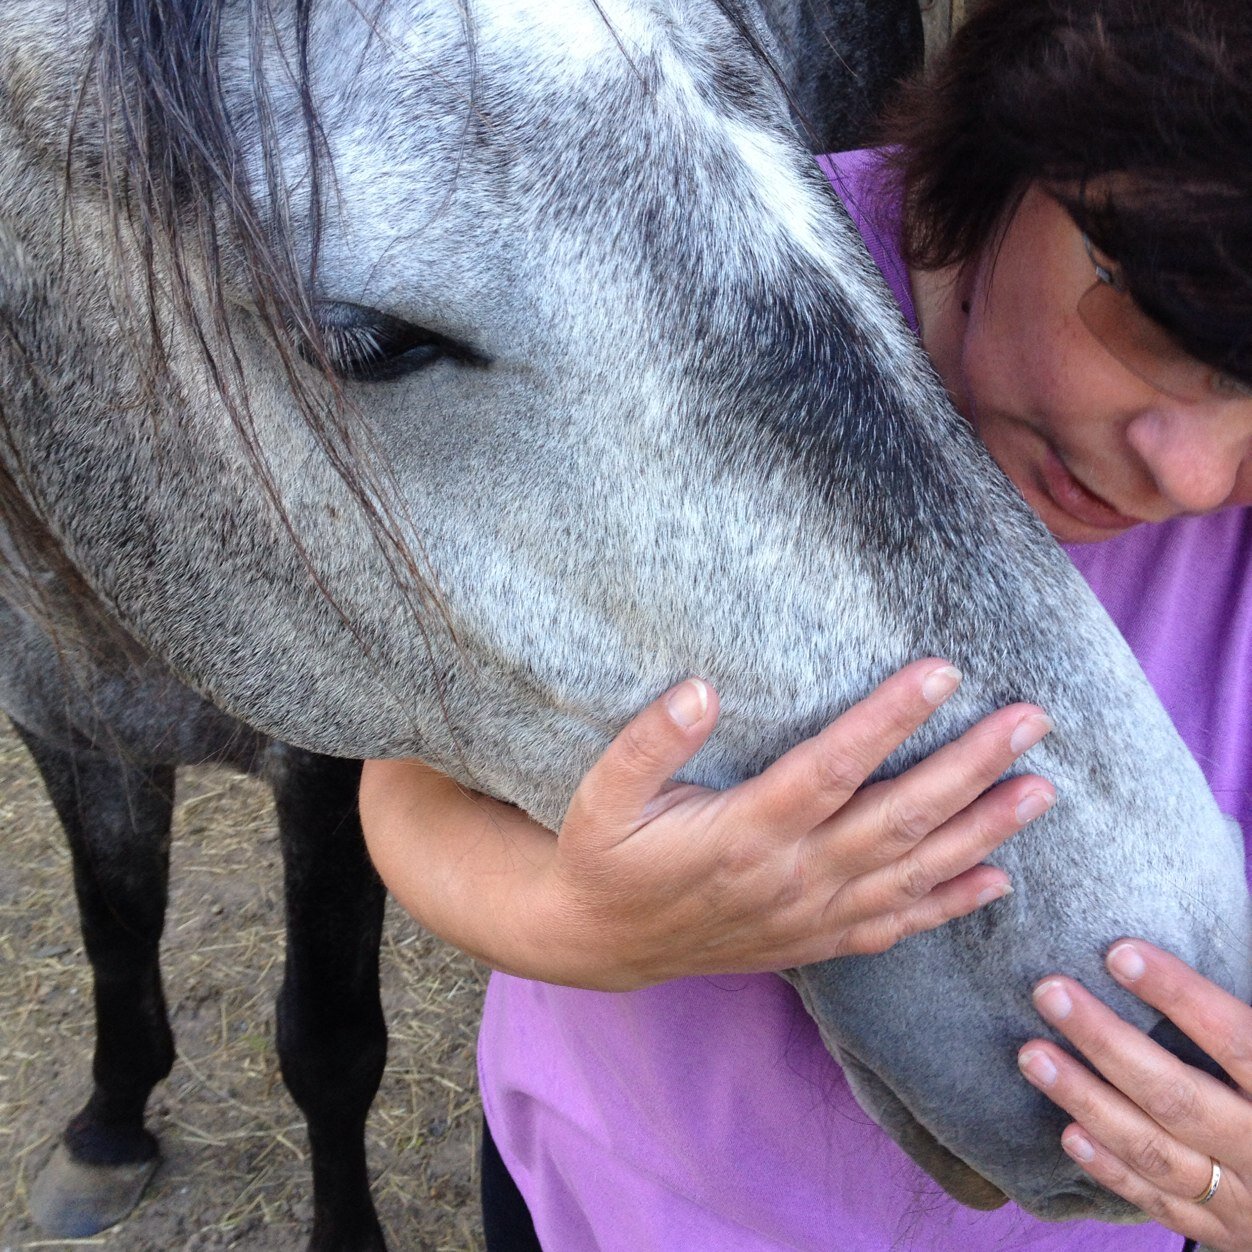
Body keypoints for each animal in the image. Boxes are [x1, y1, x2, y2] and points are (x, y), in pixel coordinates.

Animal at [0, 0, 1246, 1246]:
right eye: (360, 339)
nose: (1188, 1005)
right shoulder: (67, 725)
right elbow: (120, 922)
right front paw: (106, 1127)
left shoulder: (322, 772)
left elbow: (327, 1043)